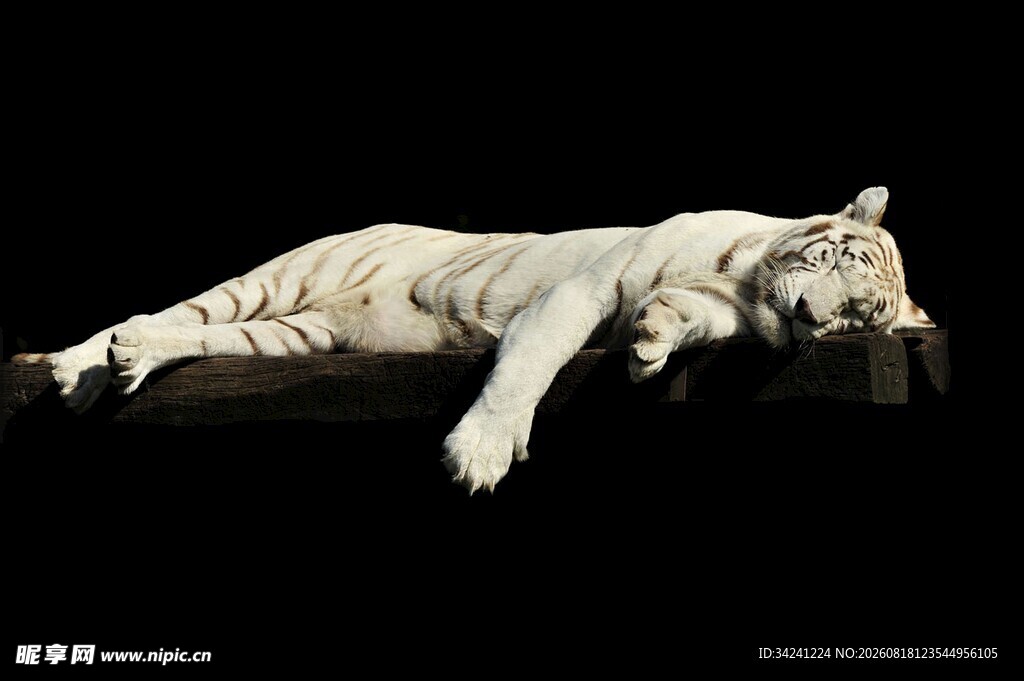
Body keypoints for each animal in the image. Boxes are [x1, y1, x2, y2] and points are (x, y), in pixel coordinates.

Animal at [13, 187, 934, 492]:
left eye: (858, 317)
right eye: (838, 261)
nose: (811, 316)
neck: (745, 283)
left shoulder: (732, 310)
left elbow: (682, 314)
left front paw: (650, 341)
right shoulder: (581, 288)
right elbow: (528, 364)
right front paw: (481, 453)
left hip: (294, 333)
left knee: (201, 338)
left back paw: (131, 360)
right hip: (277, 280)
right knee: (176, 309)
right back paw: (75, 366)